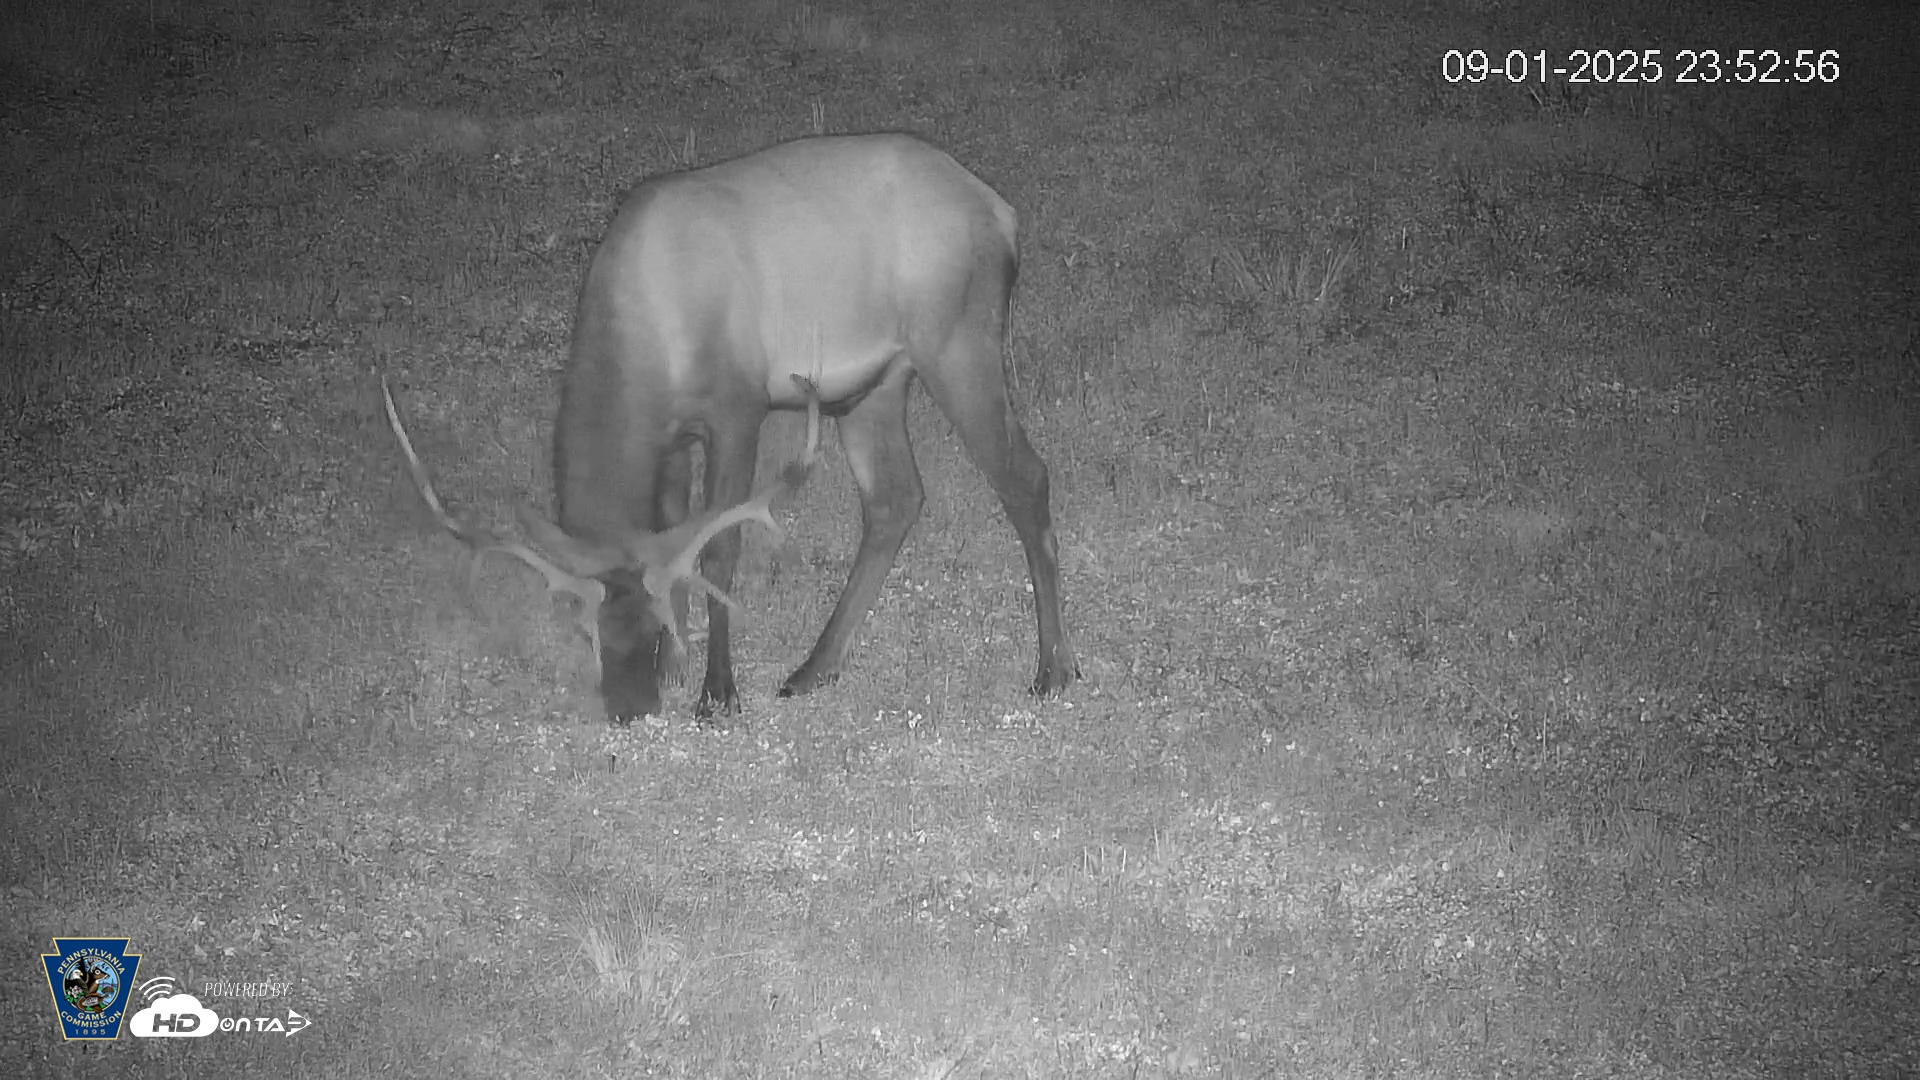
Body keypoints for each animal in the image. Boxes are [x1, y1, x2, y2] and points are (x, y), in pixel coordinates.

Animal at [385, 133, 1078, 722]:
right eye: (584, 626)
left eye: (643, 619)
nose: (628, 708)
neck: (648, 336)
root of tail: (1002, 213)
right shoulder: (673, 438)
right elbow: (671, 533)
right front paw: (677, 666)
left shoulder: (737, 409)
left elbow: (719, 547)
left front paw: (717, 693)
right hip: (874, 386)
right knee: (895, 498)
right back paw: (814, 667)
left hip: (958, 344)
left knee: (1025, 476)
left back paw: (1054, 669)